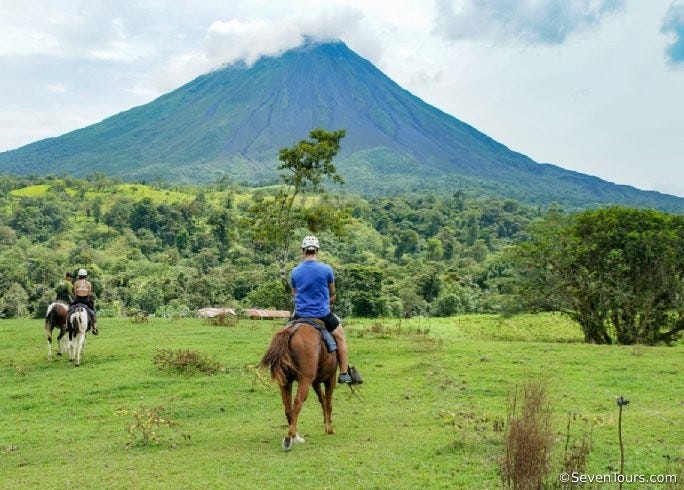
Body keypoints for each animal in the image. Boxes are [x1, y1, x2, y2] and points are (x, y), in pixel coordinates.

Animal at [260, 322, 336, 452]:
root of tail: (291, 331)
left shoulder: (315, 381)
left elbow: (322, 399)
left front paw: (326, 422)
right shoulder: (330, 378)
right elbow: (328, 402)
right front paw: (329, 427)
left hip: (285, 381)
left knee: (288, 407)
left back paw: (295, 435)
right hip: (305, 380)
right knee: (297, 403)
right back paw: (290, 438)